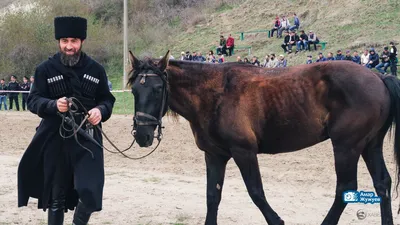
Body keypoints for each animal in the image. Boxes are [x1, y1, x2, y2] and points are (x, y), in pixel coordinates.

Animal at [126, 49, 400, 225]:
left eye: (158, 89)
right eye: (135, 90)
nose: (142, 134)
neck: (215, 94)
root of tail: (378, 76)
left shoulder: (244, 152)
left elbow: (256, 192)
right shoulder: (214, 156)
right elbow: (212, 196)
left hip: (346, 146)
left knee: (345, 187)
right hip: (369, 145)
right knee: (382, 184)